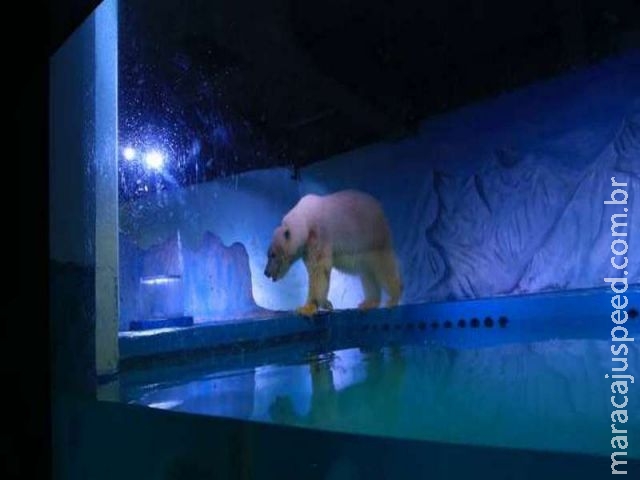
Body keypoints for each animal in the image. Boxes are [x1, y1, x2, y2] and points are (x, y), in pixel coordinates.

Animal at [264, 189, 403, 316]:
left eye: (273, 254)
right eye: (268, 254)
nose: (266, 272)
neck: (305, 219)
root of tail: (379, 209)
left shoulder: (318, 236)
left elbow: (319, 270)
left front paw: (307, 308)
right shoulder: (307, 247)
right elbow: (315, 270)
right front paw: (321, 304)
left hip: (372, 236)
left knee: (382, 265)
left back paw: (393, 298)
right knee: (367, 273)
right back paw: (369, 303)